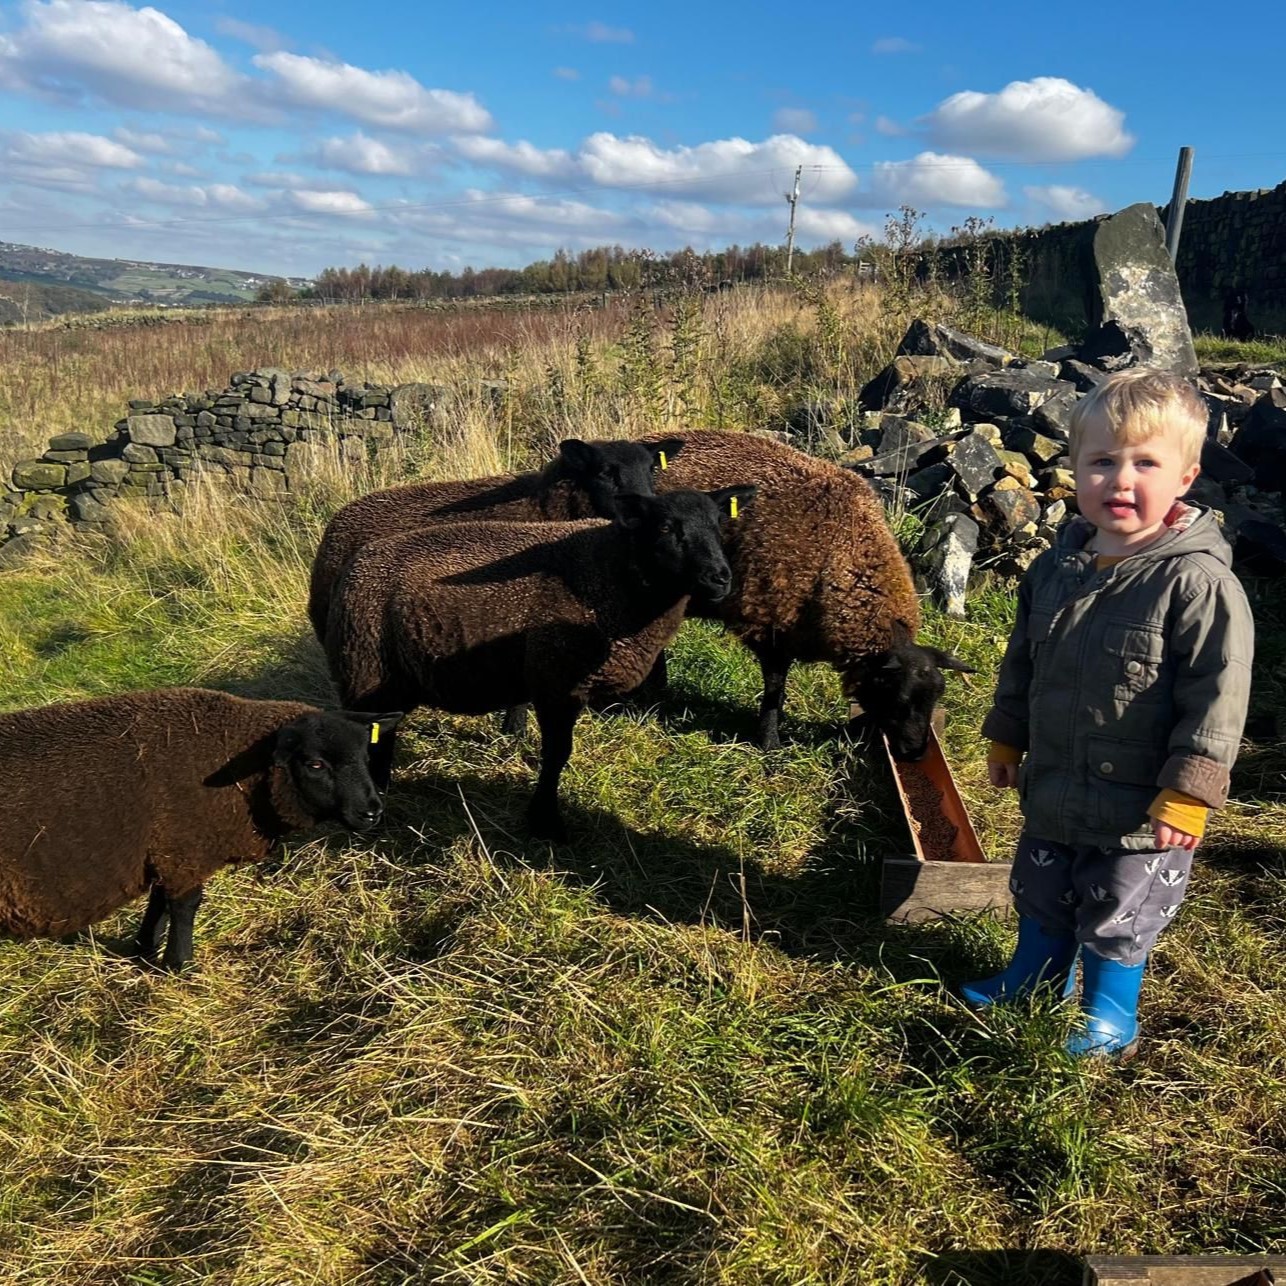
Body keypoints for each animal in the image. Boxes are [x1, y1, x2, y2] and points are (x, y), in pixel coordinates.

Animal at [0, 688, 403, 971]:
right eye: (315, 764)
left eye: (365, 756)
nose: (371, 812)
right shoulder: (184, 847)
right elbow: (185, 904)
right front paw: (180, 966)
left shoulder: (163, 849)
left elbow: (159, 902)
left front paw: (144, 952)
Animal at [325, 486, 755, 840]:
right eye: (666, 526)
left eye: (719, 524)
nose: (720, 579)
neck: (612, 574)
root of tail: (359, 560)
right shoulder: (557, 683)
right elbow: (557, 755)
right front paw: (545, 821)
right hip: (366, 672)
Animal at [644, 429, 972, 758]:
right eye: (900, 698)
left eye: (936, 697)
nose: (915, 753)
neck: (843, 551)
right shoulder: (770, 623)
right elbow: (775, 689)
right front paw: (770, 743)